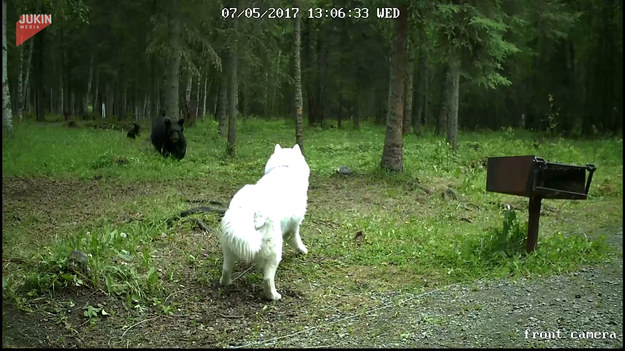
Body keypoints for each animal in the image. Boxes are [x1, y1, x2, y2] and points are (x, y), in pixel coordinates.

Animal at [219, 144, 310, 302]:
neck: (285, 166)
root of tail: (249, 210)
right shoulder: (293, 228)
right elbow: (297, 240)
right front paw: (302, 250)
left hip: (230, 247)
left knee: (226, 269)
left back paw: (226, 282)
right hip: (274, 251)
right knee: (268, 279)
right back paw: (273, 296)